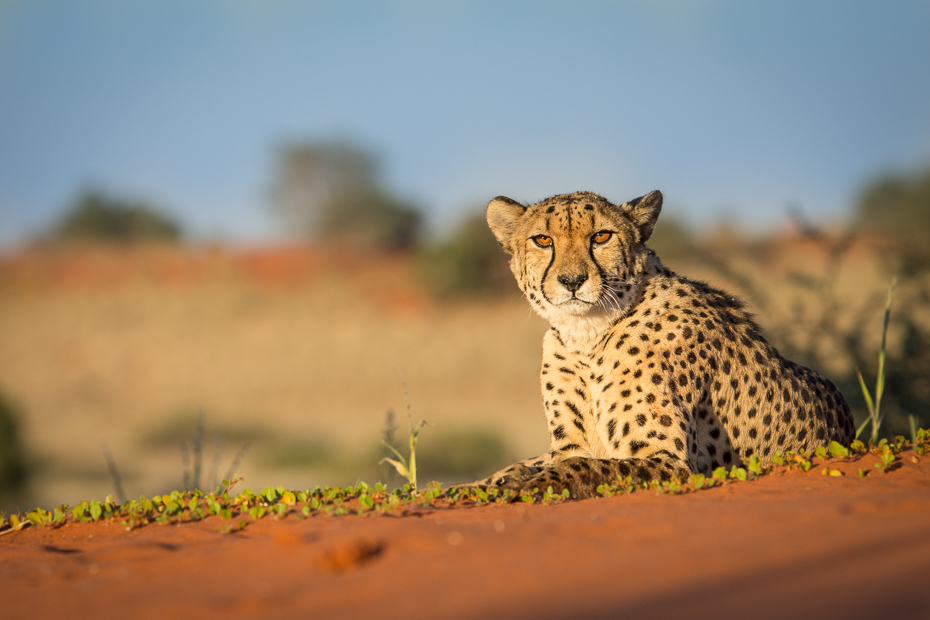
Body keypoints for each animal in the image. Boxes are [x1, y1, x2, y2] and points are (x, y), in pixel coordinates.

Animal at [474, 189, 852, 498]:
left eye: (601, 236)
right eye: (542, 240)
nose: (572, 280)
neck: (587, 336)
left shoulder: (670, 462)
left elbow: (585, 466)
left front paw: (522, 487)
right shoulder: (571, 445)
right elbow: (565, 461)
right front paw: (506, 481)